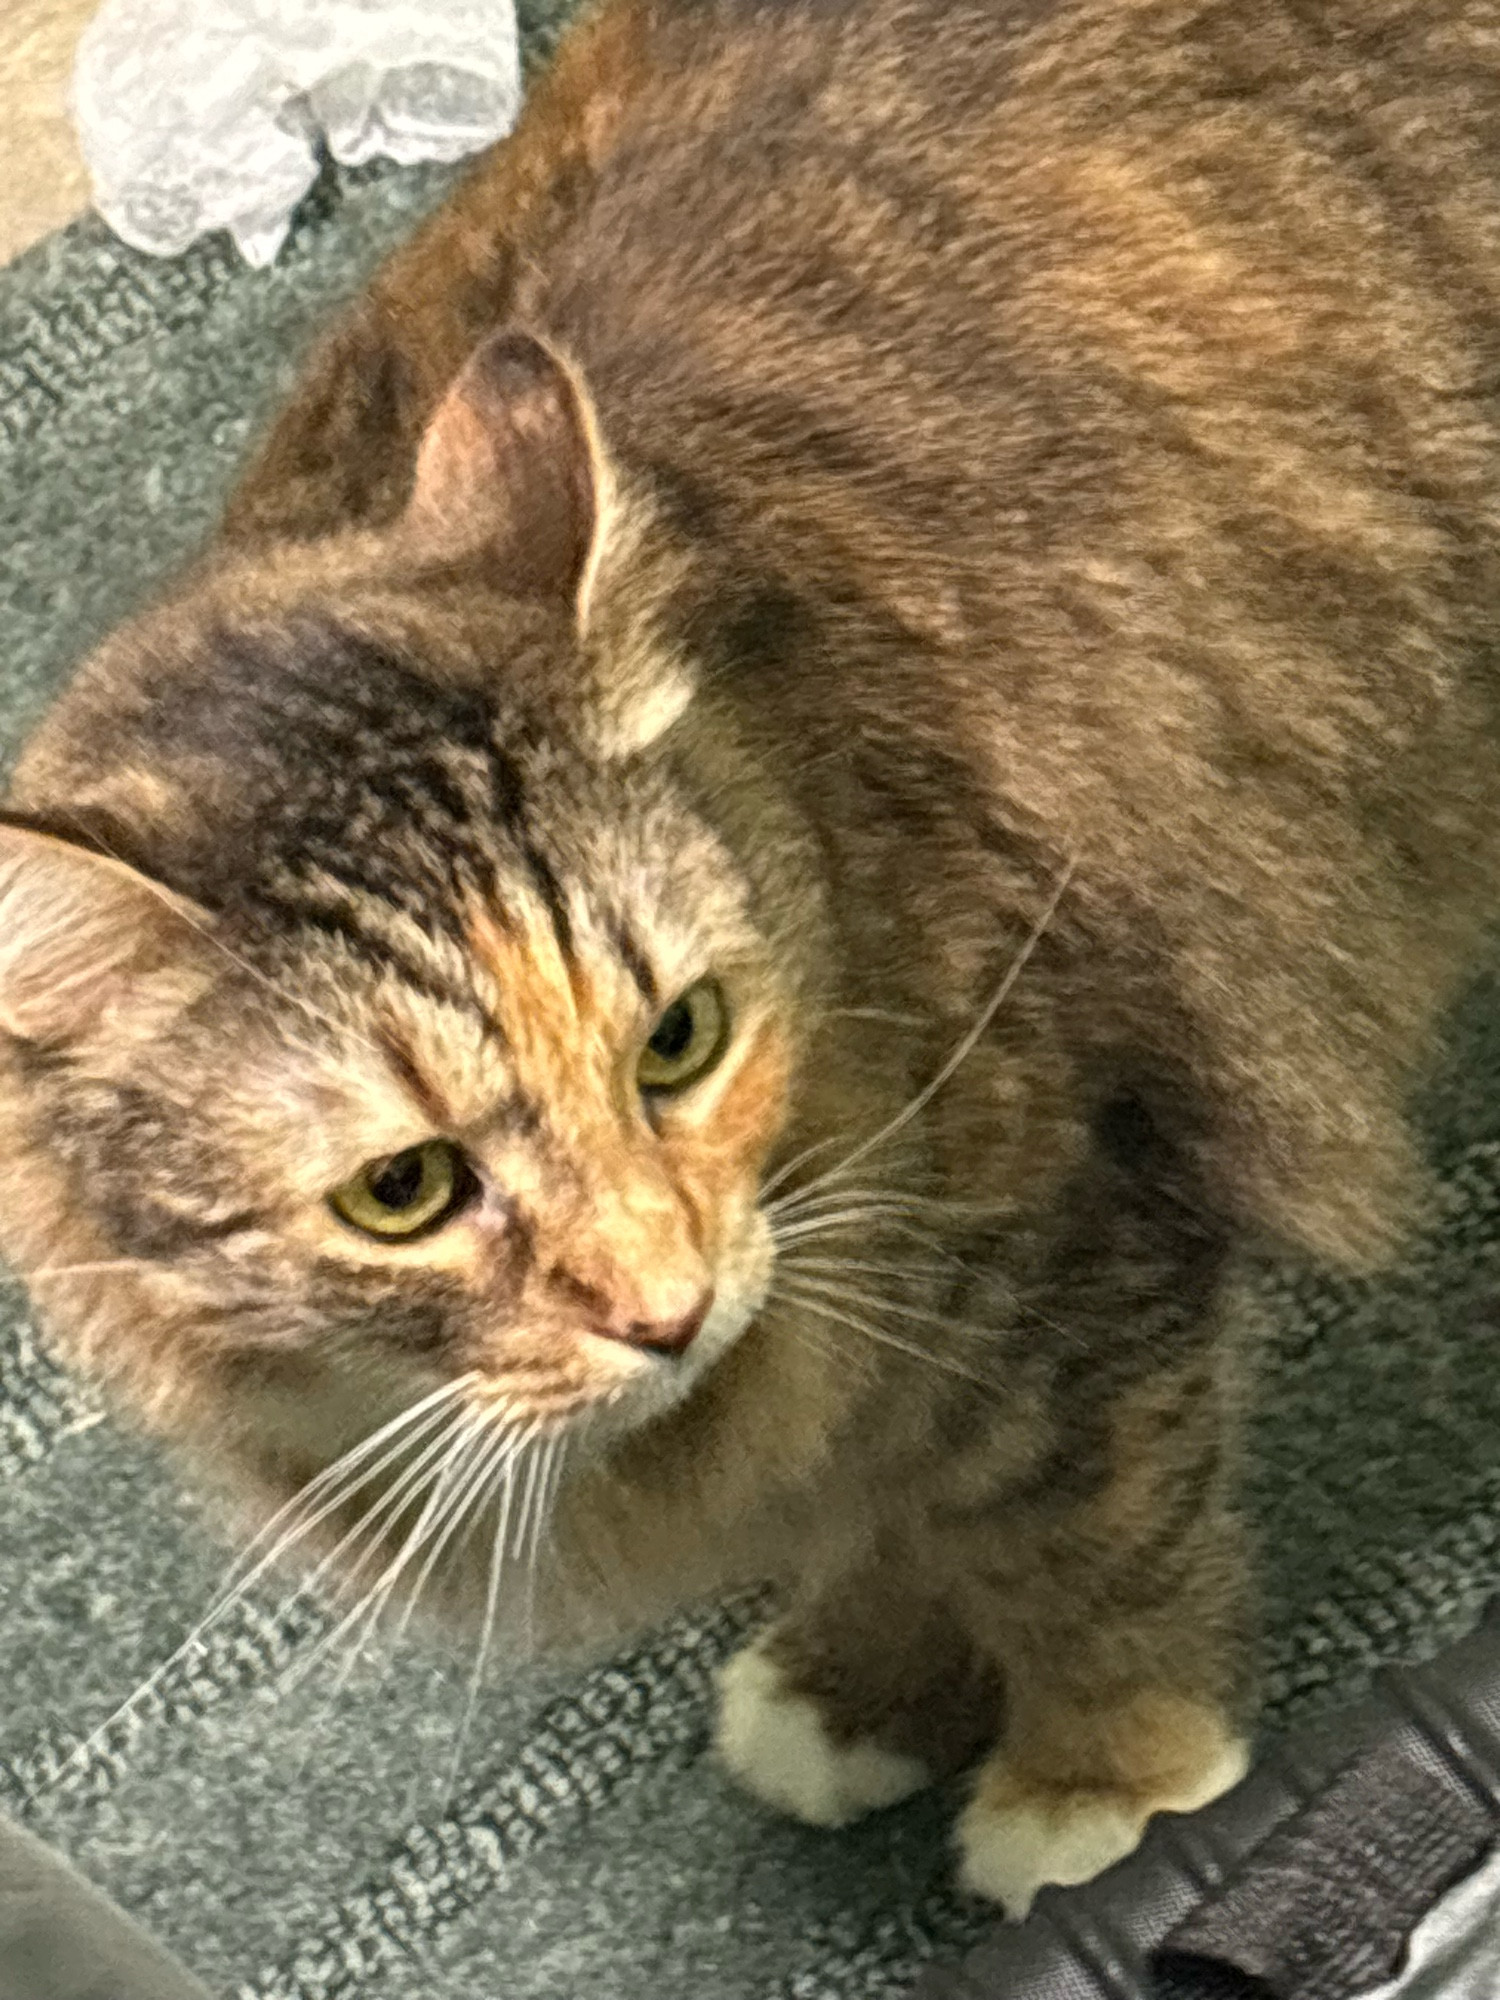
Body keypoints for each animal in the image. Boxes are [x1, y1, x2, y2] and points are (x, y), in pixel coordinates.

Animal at [2, 0, 1500, 1920]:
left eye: (678, 1040)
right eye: (404, 1192)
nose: (667, 1307)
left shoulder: (1078, 1250)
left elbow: (1088, 1555)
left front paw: (1104, 1791)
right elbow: (883, 1533)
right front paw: (861, 1687)